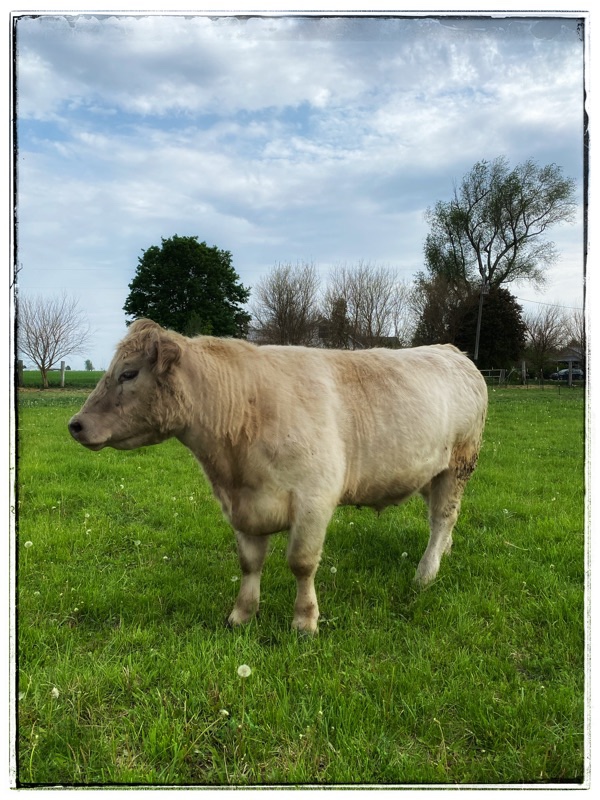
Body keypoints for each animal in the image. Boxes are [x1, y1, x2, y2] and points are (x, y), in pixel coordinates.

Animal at [68, 319, 488, 633]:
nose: (75, 425)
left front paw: (305, 621)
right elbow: (249, 562)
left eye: (128, 373)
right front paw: (242, 615)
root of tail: (453, 352)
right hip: (429, 471)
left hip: (459, 463)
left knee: (443, 516)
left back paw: (426, 573)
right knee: (442, 519)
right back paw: (444, 551)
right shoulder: (241, 506)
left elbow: (301, 563)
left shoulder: (314, 500)